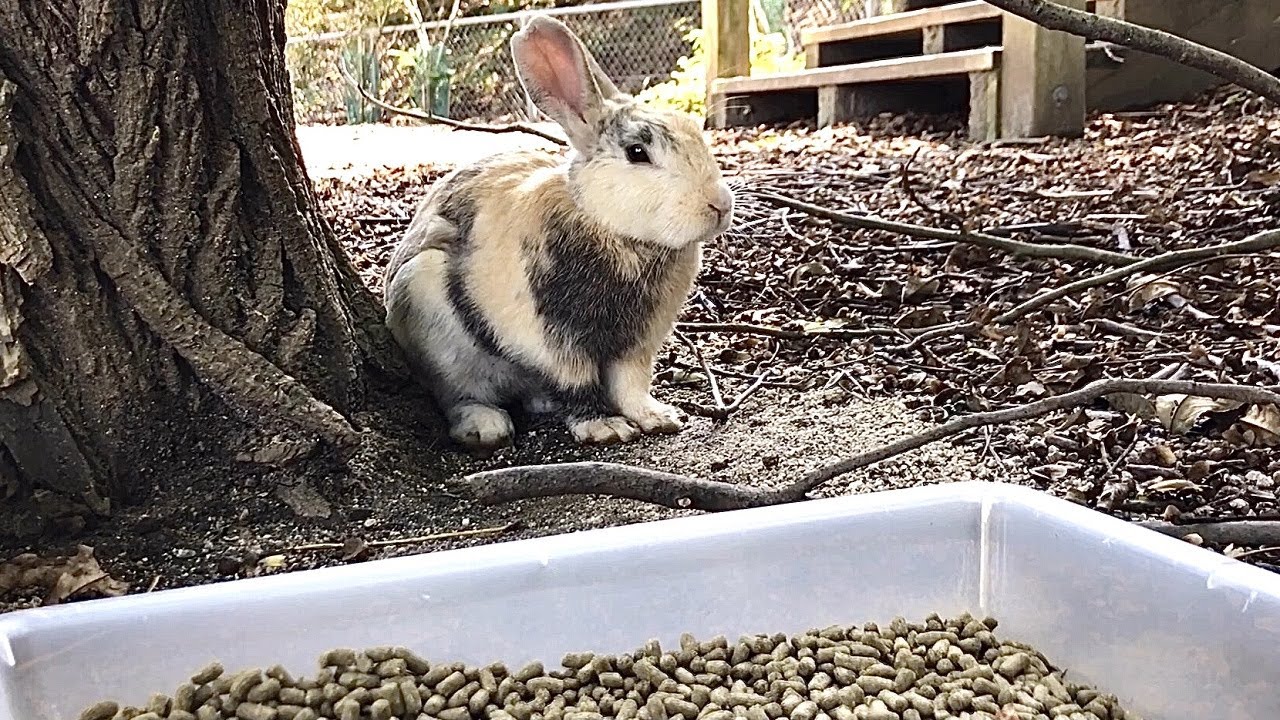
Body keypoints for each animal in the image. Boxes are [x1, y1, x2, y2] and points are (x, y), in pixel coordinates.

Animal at [382, 14, 735, 451]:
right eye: (637, 153)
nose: (719, 205)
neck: (610, 228)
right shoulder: (556, 339)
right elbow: (579, 384)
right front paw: (604, 427)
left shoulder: (637, 345)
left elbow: (630, 386)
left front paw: (658, 417)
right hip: (433, 320)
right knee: (457, 395)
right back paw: (485, 426)